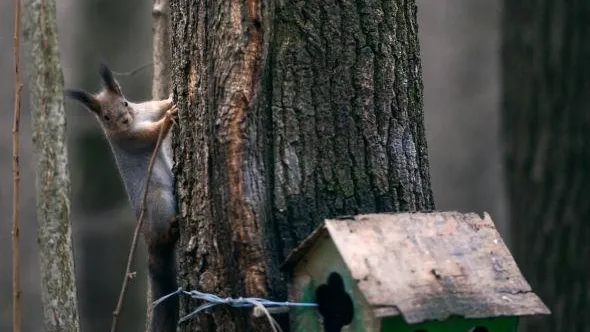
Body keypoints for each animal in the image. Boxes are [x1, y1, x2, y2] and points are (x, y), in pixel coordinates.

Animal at [66, 63, 179, 332]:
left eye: (125, 103)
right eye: (106, 117)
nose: (125, 119)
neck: (135, 121)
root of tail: (150, 242)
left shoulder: (144, 109)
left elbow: (156, 105)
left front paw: (171, 99)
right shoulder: (130, 140)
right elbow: (152, 135)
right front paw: (168, 119)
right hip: (157, 201)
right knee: (166, 234)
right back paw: (173, 227)